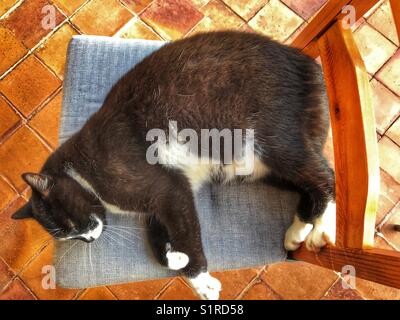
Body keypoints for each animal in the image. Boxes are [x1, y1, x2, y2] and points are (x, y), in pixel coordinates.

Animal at [11, 30, 334, 300]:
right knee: (310, 179)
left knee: (325, 175)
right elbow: (160, 240)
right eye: (69, 236)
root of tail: (306, 63)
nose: (89, 239)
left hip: (267, 140)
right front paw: (176, 259)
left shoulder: (167, 191)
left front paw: (200, 282)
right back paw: (298, 230)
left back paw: (321, 229)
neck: (81, 175)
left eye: (69, 226)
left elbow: (187, 236)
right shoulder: (163, 200)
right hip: (256, 168)